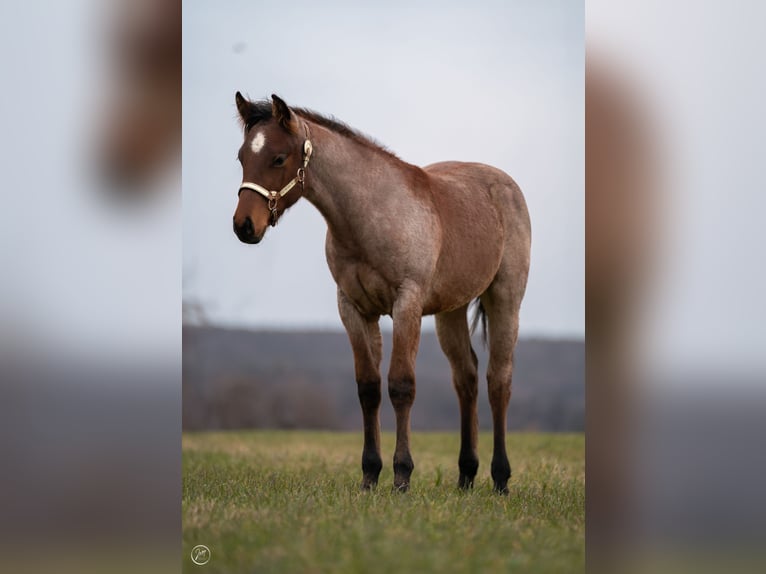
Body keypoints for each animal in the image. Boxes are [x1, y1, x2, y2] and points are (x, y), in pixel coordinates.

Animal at [232, 93, 531, 493]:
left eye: (279, 158)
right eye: (241, 157)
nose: (244, 226)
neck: (371, 214)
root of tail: (504, 184)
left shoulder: (406, 305)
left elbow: (401, 386)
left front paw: (402, 476)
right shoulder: (354, 308)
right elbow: (369, 388)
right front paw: (370, 476)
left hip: (505, 300)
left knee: (498, 380)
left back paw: (500, 480)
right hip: (450, 311)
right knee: (466, 377)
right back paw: (466, 477)